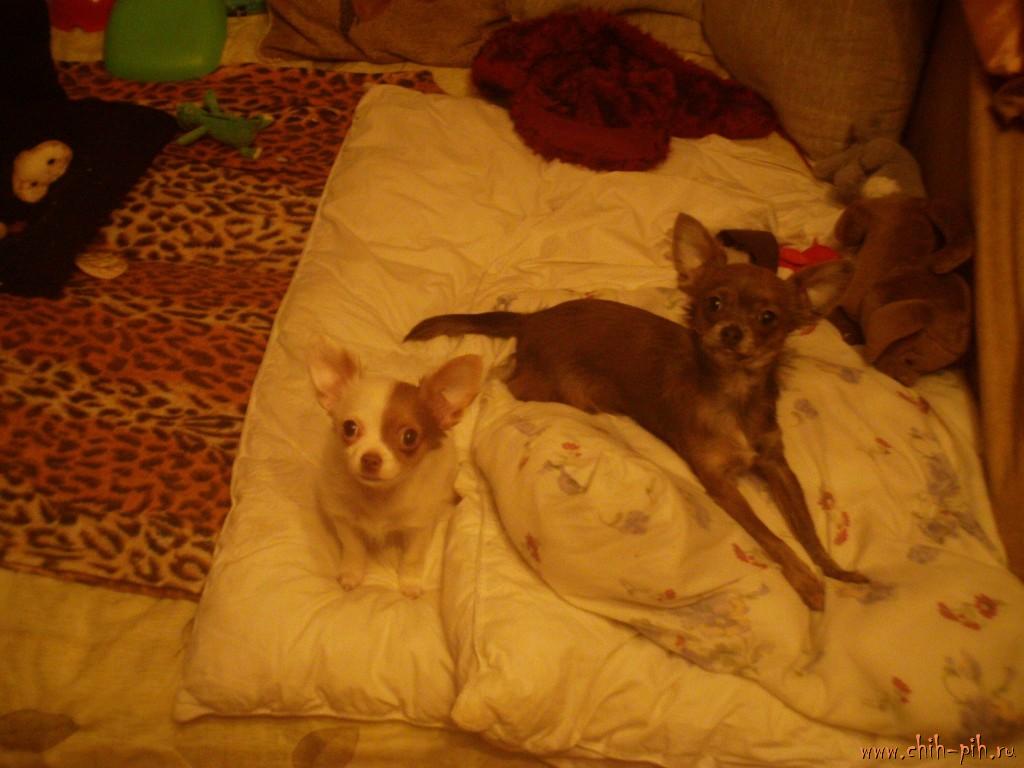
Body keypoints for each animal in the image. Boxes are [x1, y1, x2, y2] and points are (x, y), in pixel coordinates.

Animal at [308, 343, 482, 598]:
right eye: (349, 428)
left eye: (409, 437)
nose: (370, 458)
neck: (379, 498)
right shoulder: (344, 519)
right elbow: (353, 549)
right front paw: (352, 574)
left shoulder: (419, 528)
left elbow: (412, 557)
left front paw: (409, 584)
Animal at [405, 213, 867, 610]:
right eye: (714, 304)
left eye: (769, 317)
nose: (731, 331)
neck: (732, 391)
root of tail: (531, 321)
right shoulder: (719, 481)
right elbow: (771, 536)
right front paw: (806, 580)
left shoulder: (776, 465)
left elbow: (806, 527)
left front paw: (833, 569)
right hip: (557, 388)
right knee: (508, 380)